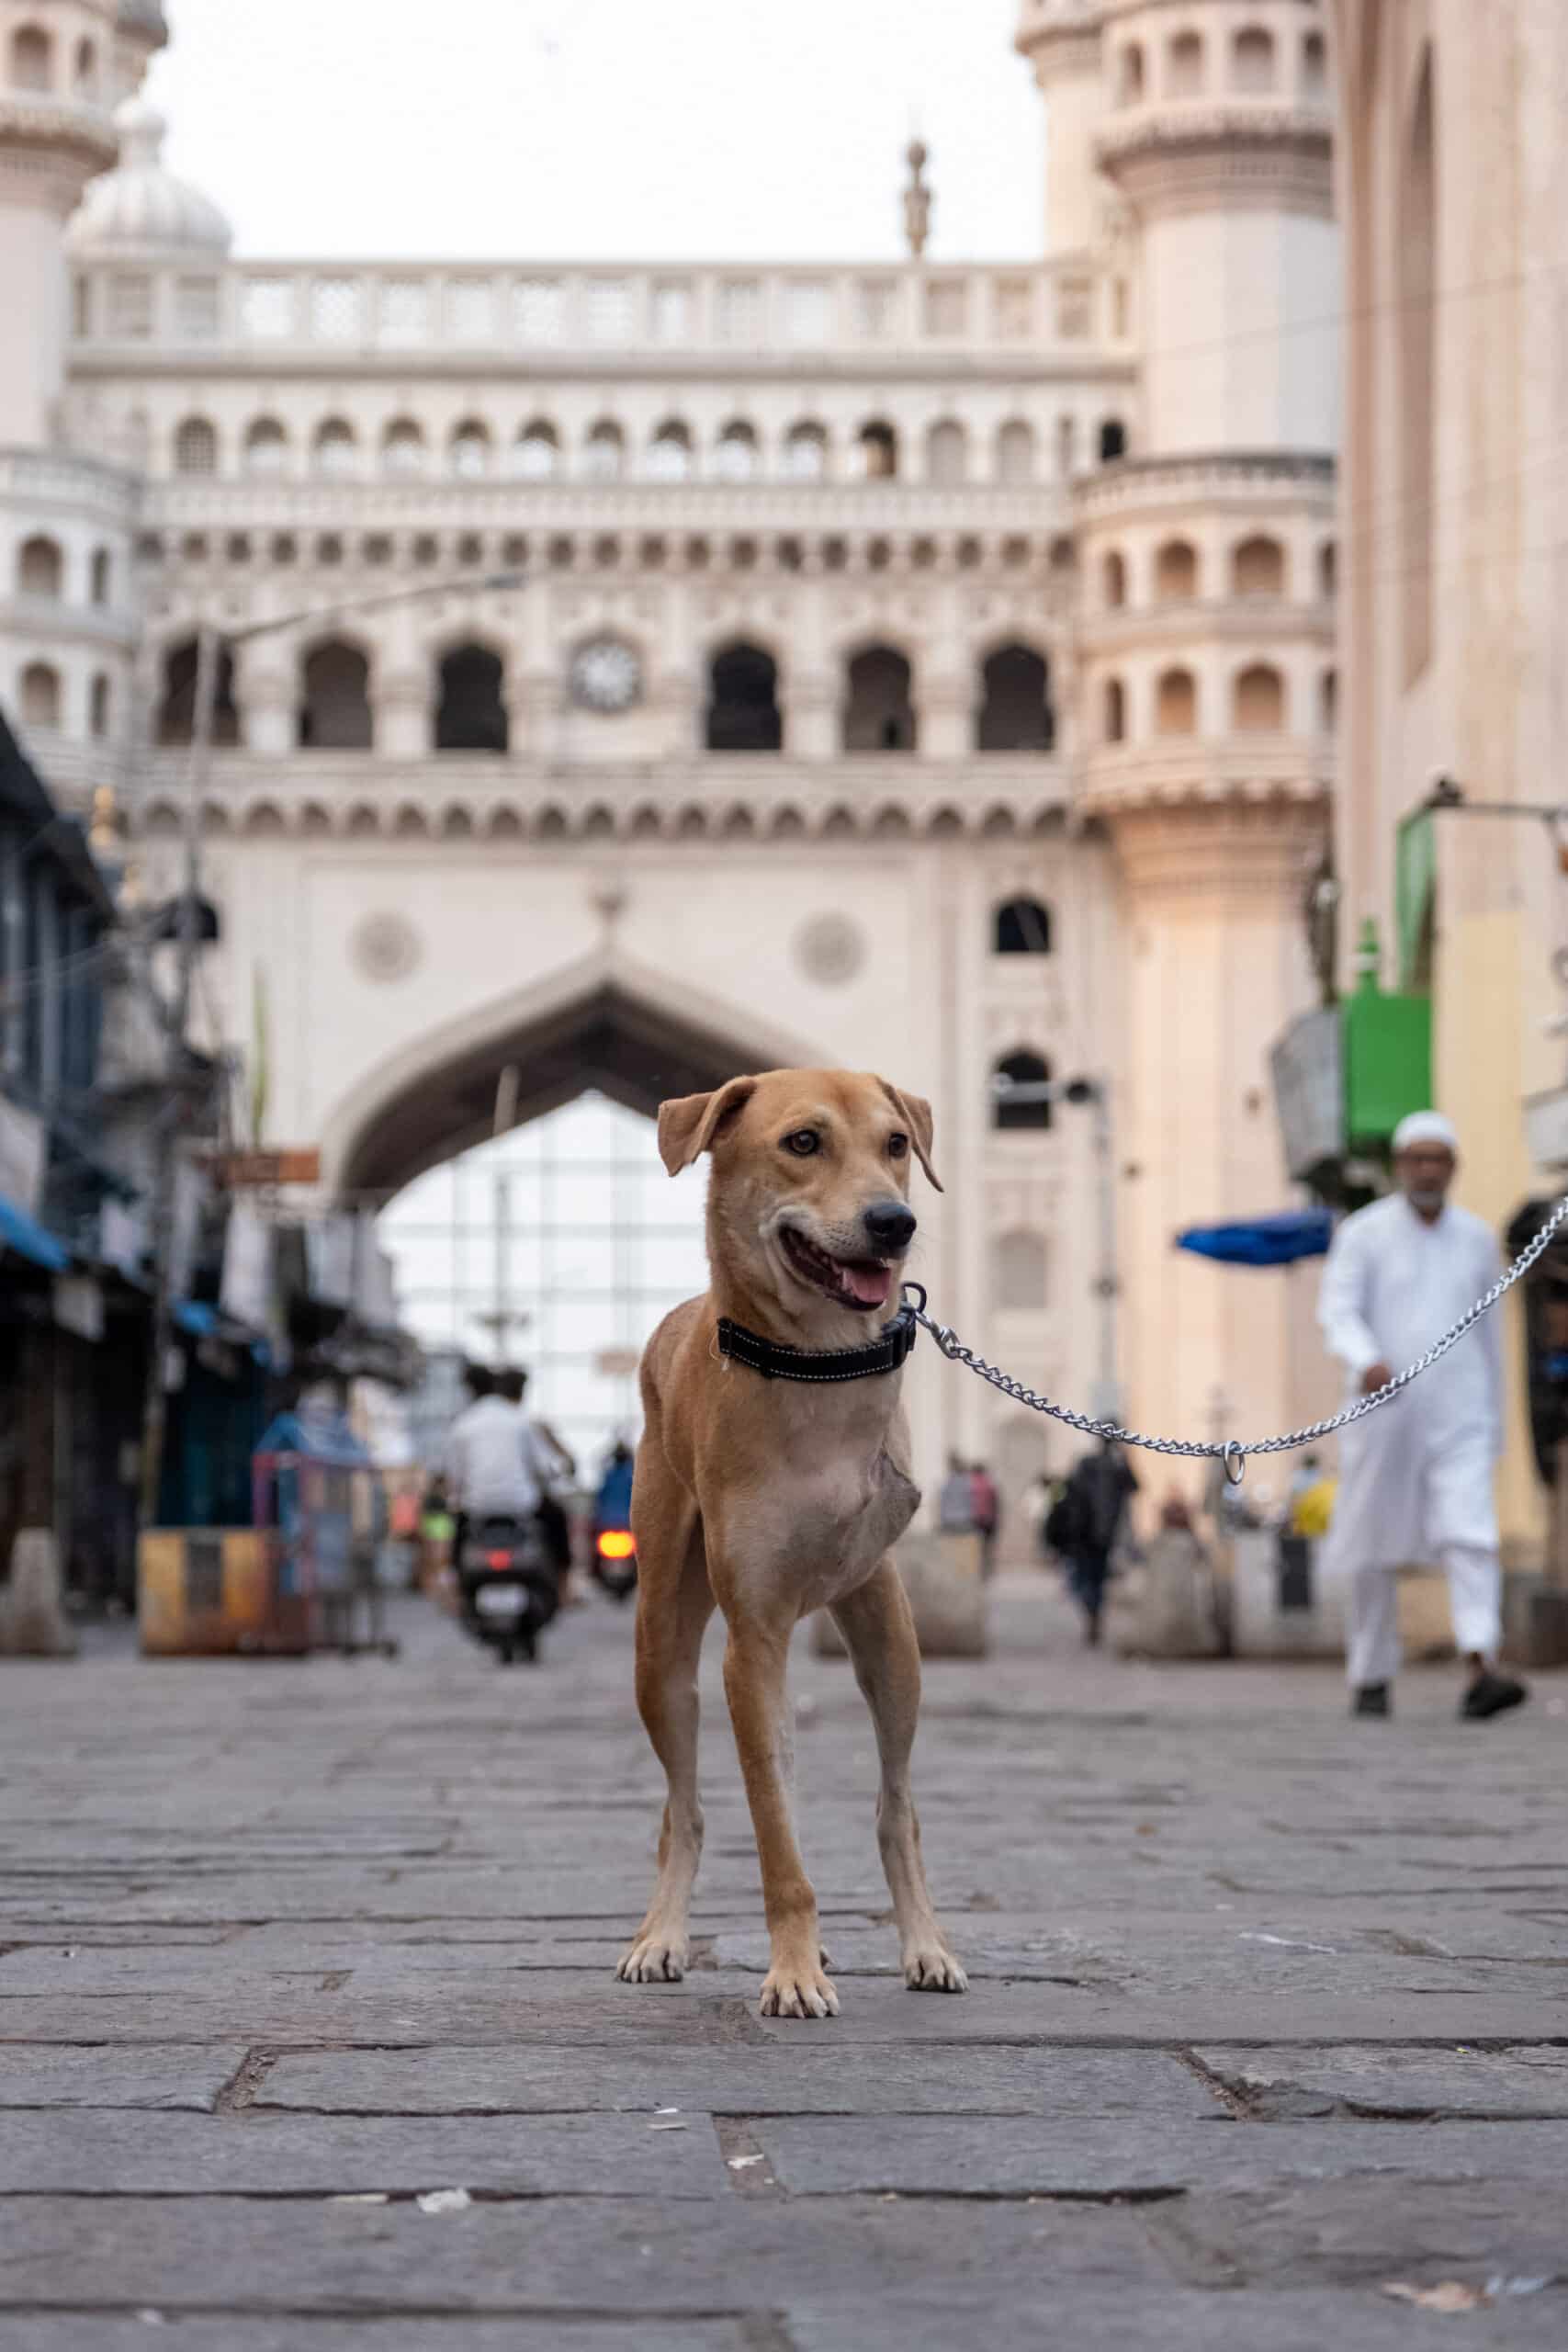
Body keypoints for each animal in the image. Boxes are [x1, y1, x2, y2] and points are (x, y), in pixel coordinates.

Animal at [615, 1077, 968, 2013]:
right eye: (802, 1142)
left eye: (895, 1143)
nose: (893, 1222)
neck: (818, 1364)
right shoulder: (753, 1637)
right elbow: (771, 1839)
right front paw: (794, 1971)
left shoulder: (872, 1596)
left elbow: (864, 1808)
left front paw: (880, 1949)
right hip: (661, 1641)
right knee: (685, 1808)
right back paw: (661, 1937)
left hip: (889, 1636)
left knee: (893, 1804)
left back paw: (923, 1945)